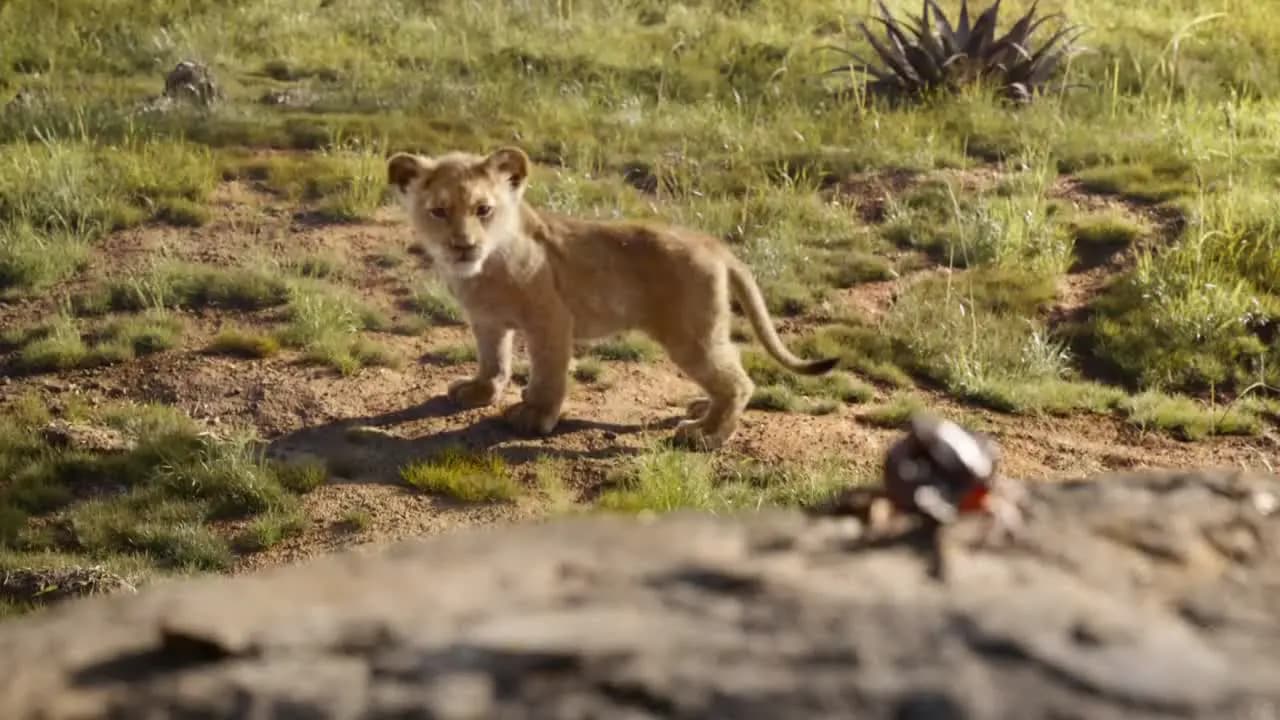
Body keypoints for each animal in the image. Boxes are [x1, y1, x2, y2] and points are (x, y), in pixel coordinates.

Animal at [387, 146, 837, 450]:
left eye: (483, 209)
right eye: (439, 211)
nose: (463, 245)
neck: (482, 271)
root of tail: (715, 245)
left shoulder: (551, 320)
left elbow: (548, 373)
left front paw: (534, 415)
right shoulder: (487, 321)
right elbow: (493, 361)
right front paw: (480, 391)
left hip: (691, 335)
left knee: (739, 382)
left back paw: (704, 435)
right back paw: (700, 410)